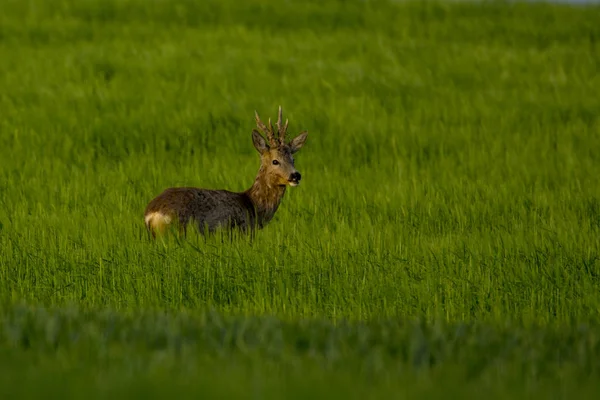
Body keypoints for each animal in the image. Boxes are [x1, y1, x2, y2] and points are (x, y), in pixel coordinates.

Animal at [143, 106, 308, 238]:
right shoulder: (242, 231)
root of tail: (151, 214)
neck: (253, 206)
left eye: (293, 159)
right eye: (275, 161)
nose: (295, 175)